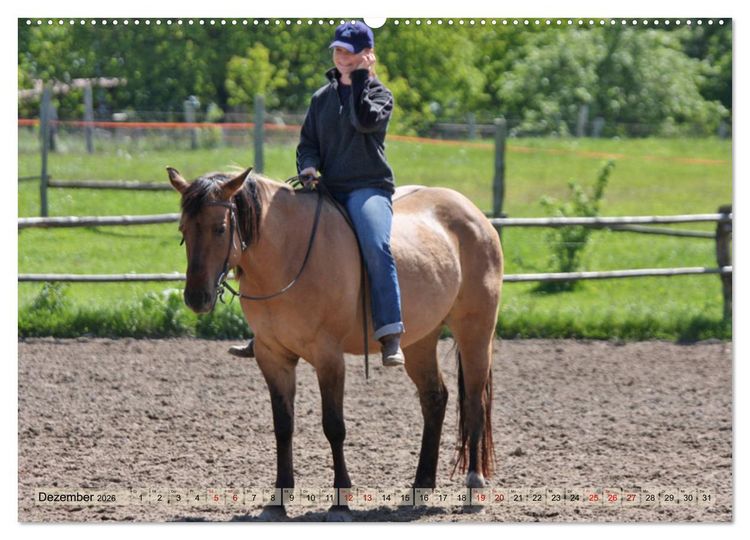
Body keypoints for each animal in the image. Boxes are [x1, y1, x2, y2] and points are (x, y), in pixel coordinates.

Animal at [167, 167, 503, 521]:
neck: (288, 253)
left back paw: (474, 483)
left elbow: (334, 426)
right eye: (184, 228)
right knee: (435, 399)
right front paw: (278, 501)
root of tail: (474, 215)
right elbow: (283, 426)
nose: (196, 297)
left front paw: (340, 501)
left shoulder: (328, 357)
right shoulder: (273, 357)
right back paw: (420, 487)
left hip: (475, 330)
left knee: (474, 402)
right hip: (420, 341)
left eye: (219, 228)